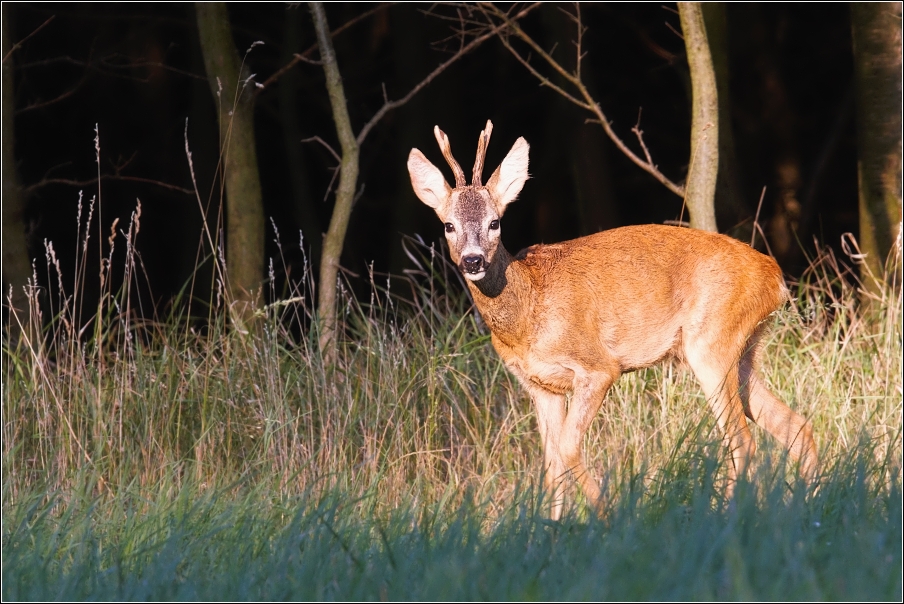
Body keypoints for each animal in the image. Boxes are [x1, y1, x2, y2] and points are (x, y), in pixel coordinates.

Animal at [410, 121, 820, 520]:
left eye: (495, 222)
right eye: (448, 225)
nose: (473, 260)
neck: (527, 313)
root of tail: (775, 276)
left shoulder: (597, 367)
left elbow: (569, 449)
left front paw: (607, 518)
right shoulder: (539, 386)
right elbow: (551, 465)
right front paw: (550, 529)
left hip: (711, 342)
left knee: (744, 442)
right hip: (742, 351)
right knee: (796, 426)